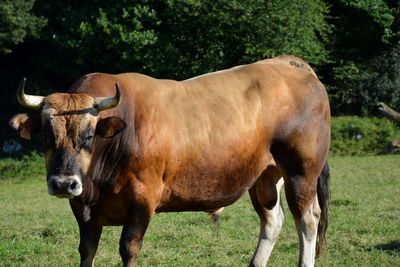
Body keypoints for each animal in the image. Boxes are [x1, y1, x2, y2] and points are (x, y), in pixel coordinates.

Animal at [10, 55, 332, 267]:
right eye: (46, 136)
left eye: (89, 136)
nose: (64, 183)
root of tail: (288, 63)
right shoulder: (82, 208)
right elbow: (86, 250)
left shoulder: (143, 200)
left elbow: (129, 249)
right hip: (265, 176)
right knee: (273, 220)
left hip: (301, 172)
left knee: (307, 220)